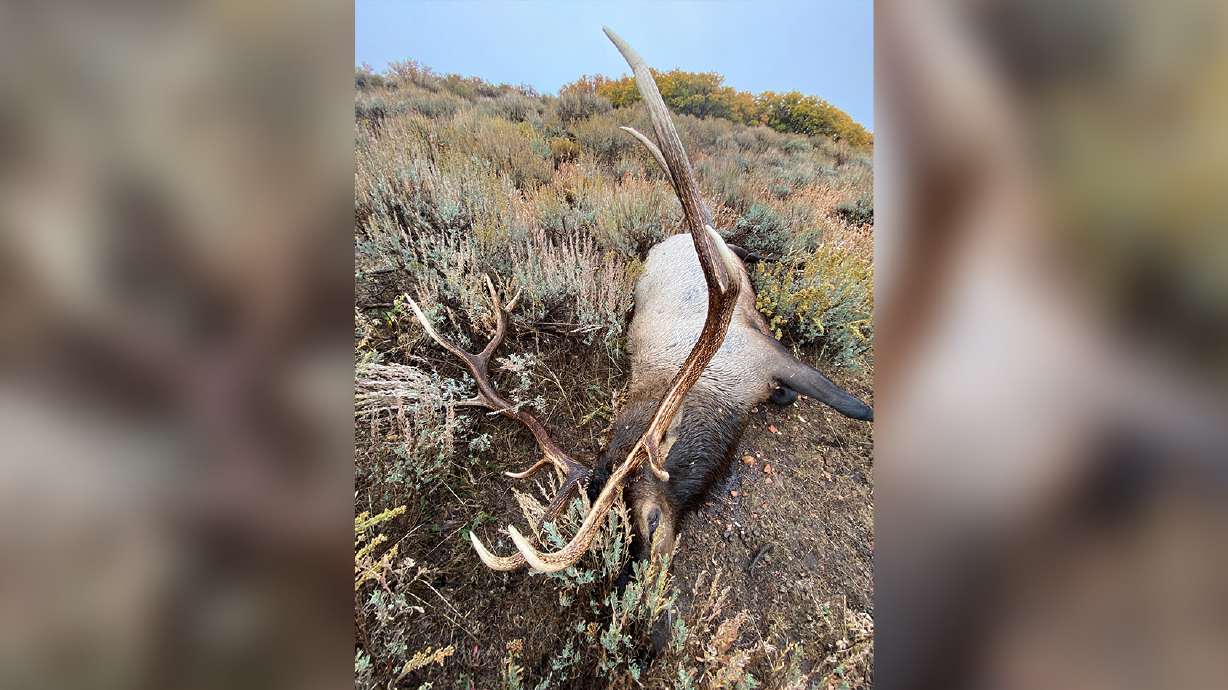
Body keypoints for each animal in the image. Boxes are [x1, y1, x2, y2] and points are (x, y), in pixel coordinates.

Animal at [407, 27, 873, 577]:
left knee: (730, 238)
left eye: (647, 519)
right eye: (621, 533)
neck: (715, 403)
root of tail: (673, 236)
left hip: (721, 250)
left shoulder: (767, 355)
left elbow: (852, 404)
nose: (647, 583)